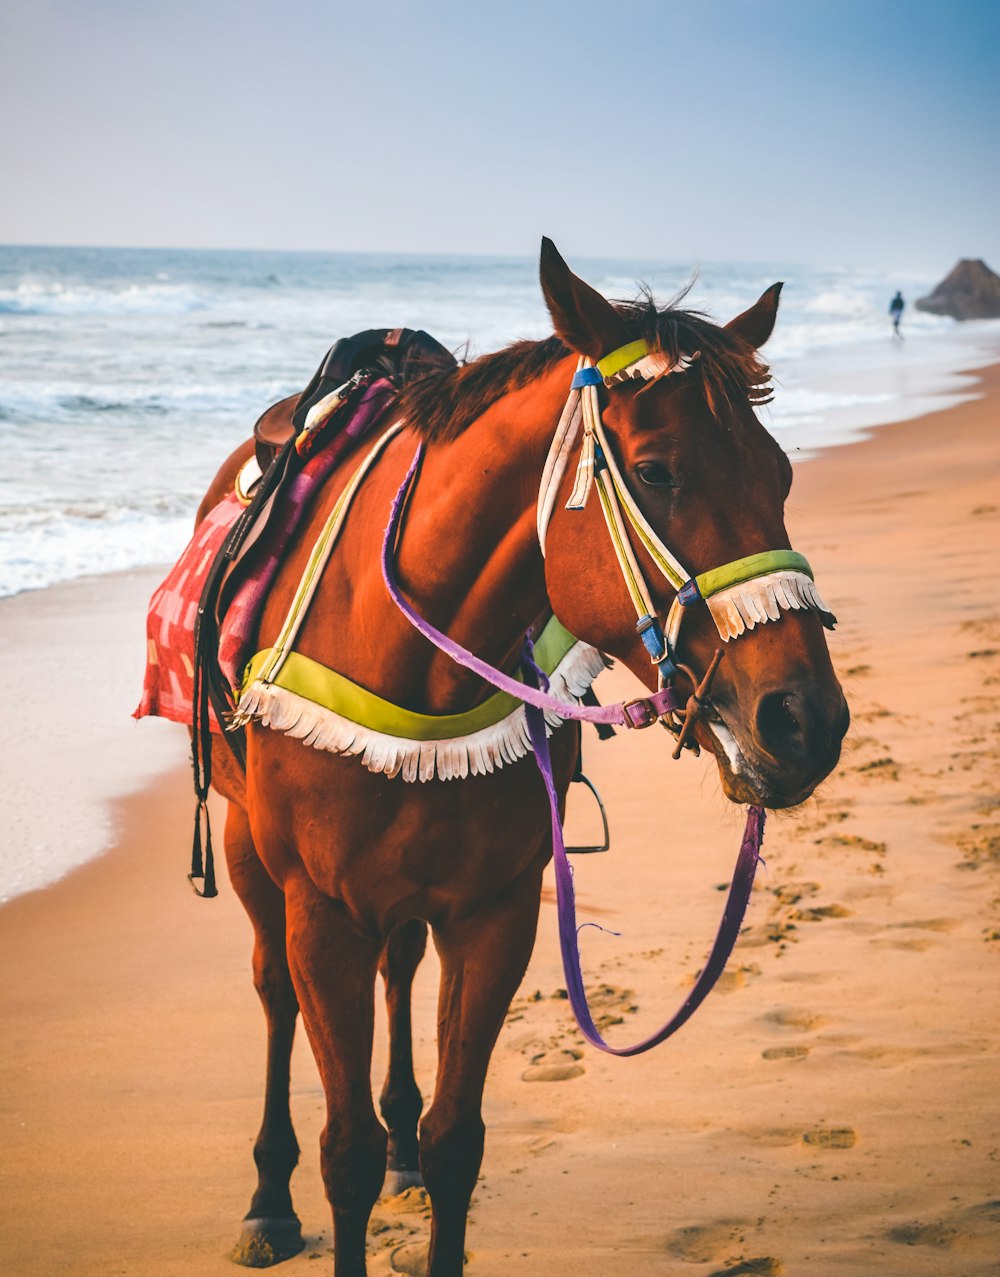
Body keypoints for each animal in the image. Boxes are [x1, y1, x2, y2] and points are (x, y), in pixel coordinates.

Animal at [197, 237, 853, 1266]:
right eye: (657, 472)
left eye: (782, 474)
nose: (804, 719)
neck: (413, 658)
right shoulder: (323, 913)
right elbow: (343, 1150)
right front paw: (318, 1177)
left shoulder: (495, 909)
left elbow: (455, 1140)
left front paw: (416, 1151)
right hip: (247, 850)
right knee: (273, 994)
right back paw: (268, 1195)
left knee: (399, 969)